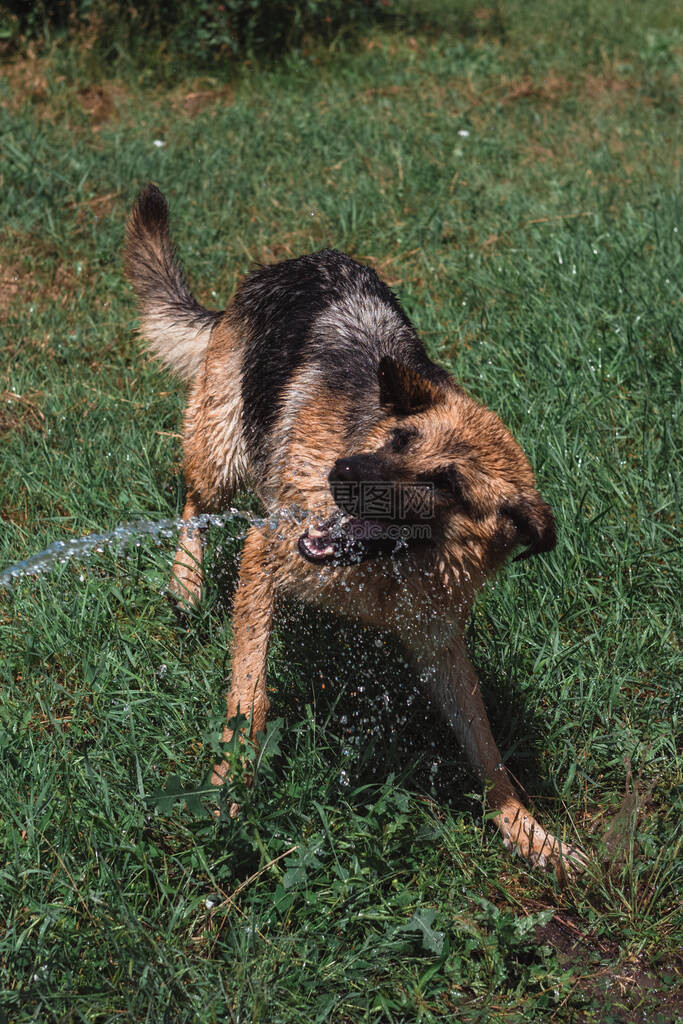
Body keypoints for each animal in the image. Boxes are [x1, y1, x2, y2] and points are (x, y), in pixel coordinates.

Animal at [126, 186, 589, 880]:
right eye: (398, 439)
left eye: (445, 483)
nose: (341, 473)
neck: (387, 573)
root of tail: (290, 262)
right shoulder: (268, 550)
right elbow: (250, 699)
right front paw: (230, 788)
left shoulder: (439, 642)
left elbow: (486, 748)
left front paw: (529, 832)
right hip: (224, 444)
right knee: (193, 500)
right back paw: (186, 580)